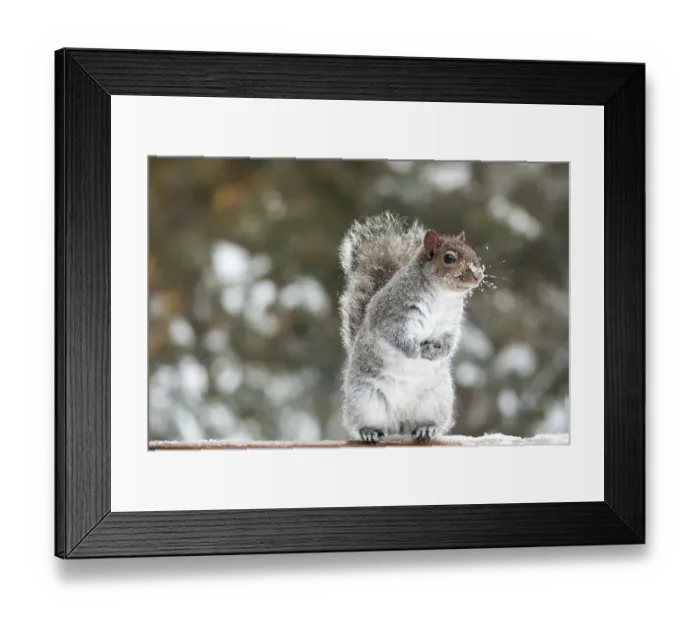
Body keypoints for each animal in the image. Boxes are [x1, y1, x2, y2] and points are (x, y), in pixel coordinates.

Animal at [338, 212, 485, 444]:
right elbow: (395, 336)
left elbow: (450, 343)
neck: (442, 295)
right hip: (364, 400)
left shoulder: (450, 324)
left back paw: (426, 429)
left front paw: (437, 353)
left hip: (436, 401)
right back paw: (369, 432)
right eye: (449, 258)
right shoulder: (391, 315)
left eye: (473, 253)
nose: (479, 275)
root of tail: (399, 422)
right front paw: (414, 351)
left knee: (423, 423)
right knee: (367, 423)